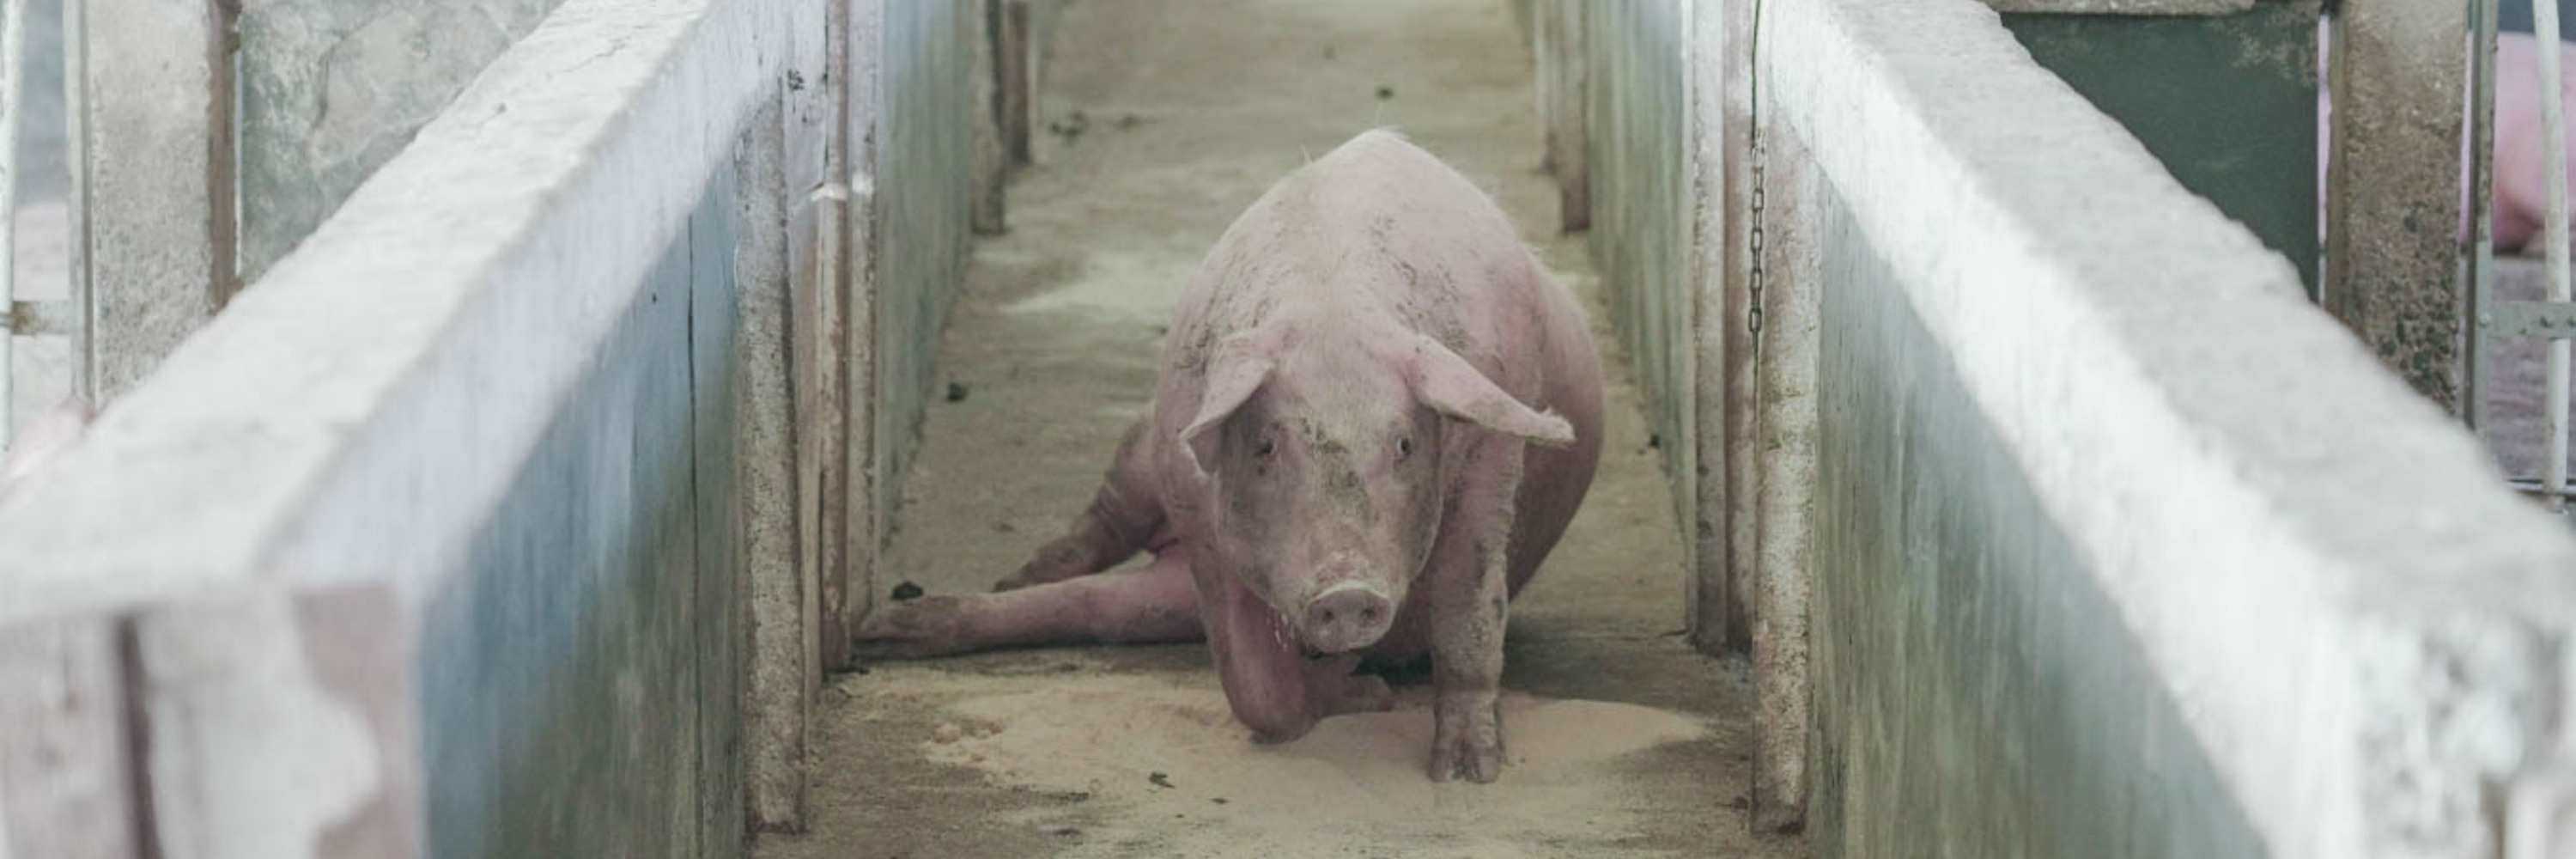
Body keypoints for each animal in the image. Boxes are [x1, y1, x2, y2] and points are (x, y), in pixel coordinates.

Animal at [854, 129, 1605, 783]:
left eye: (1404, 444)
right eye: (1268, 444)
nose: (1347, 594)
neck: (1331, 305)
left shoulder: (1492, 455)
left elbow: (1468, 607)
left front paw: (1467, 771)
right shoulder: (1196, 512)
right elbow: (1253, 689)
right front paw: (1363, 692)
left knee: (1095, 606)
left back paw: (884, 631)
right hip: (1144, 445)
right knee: (1095, 544)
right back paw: (940, 605)